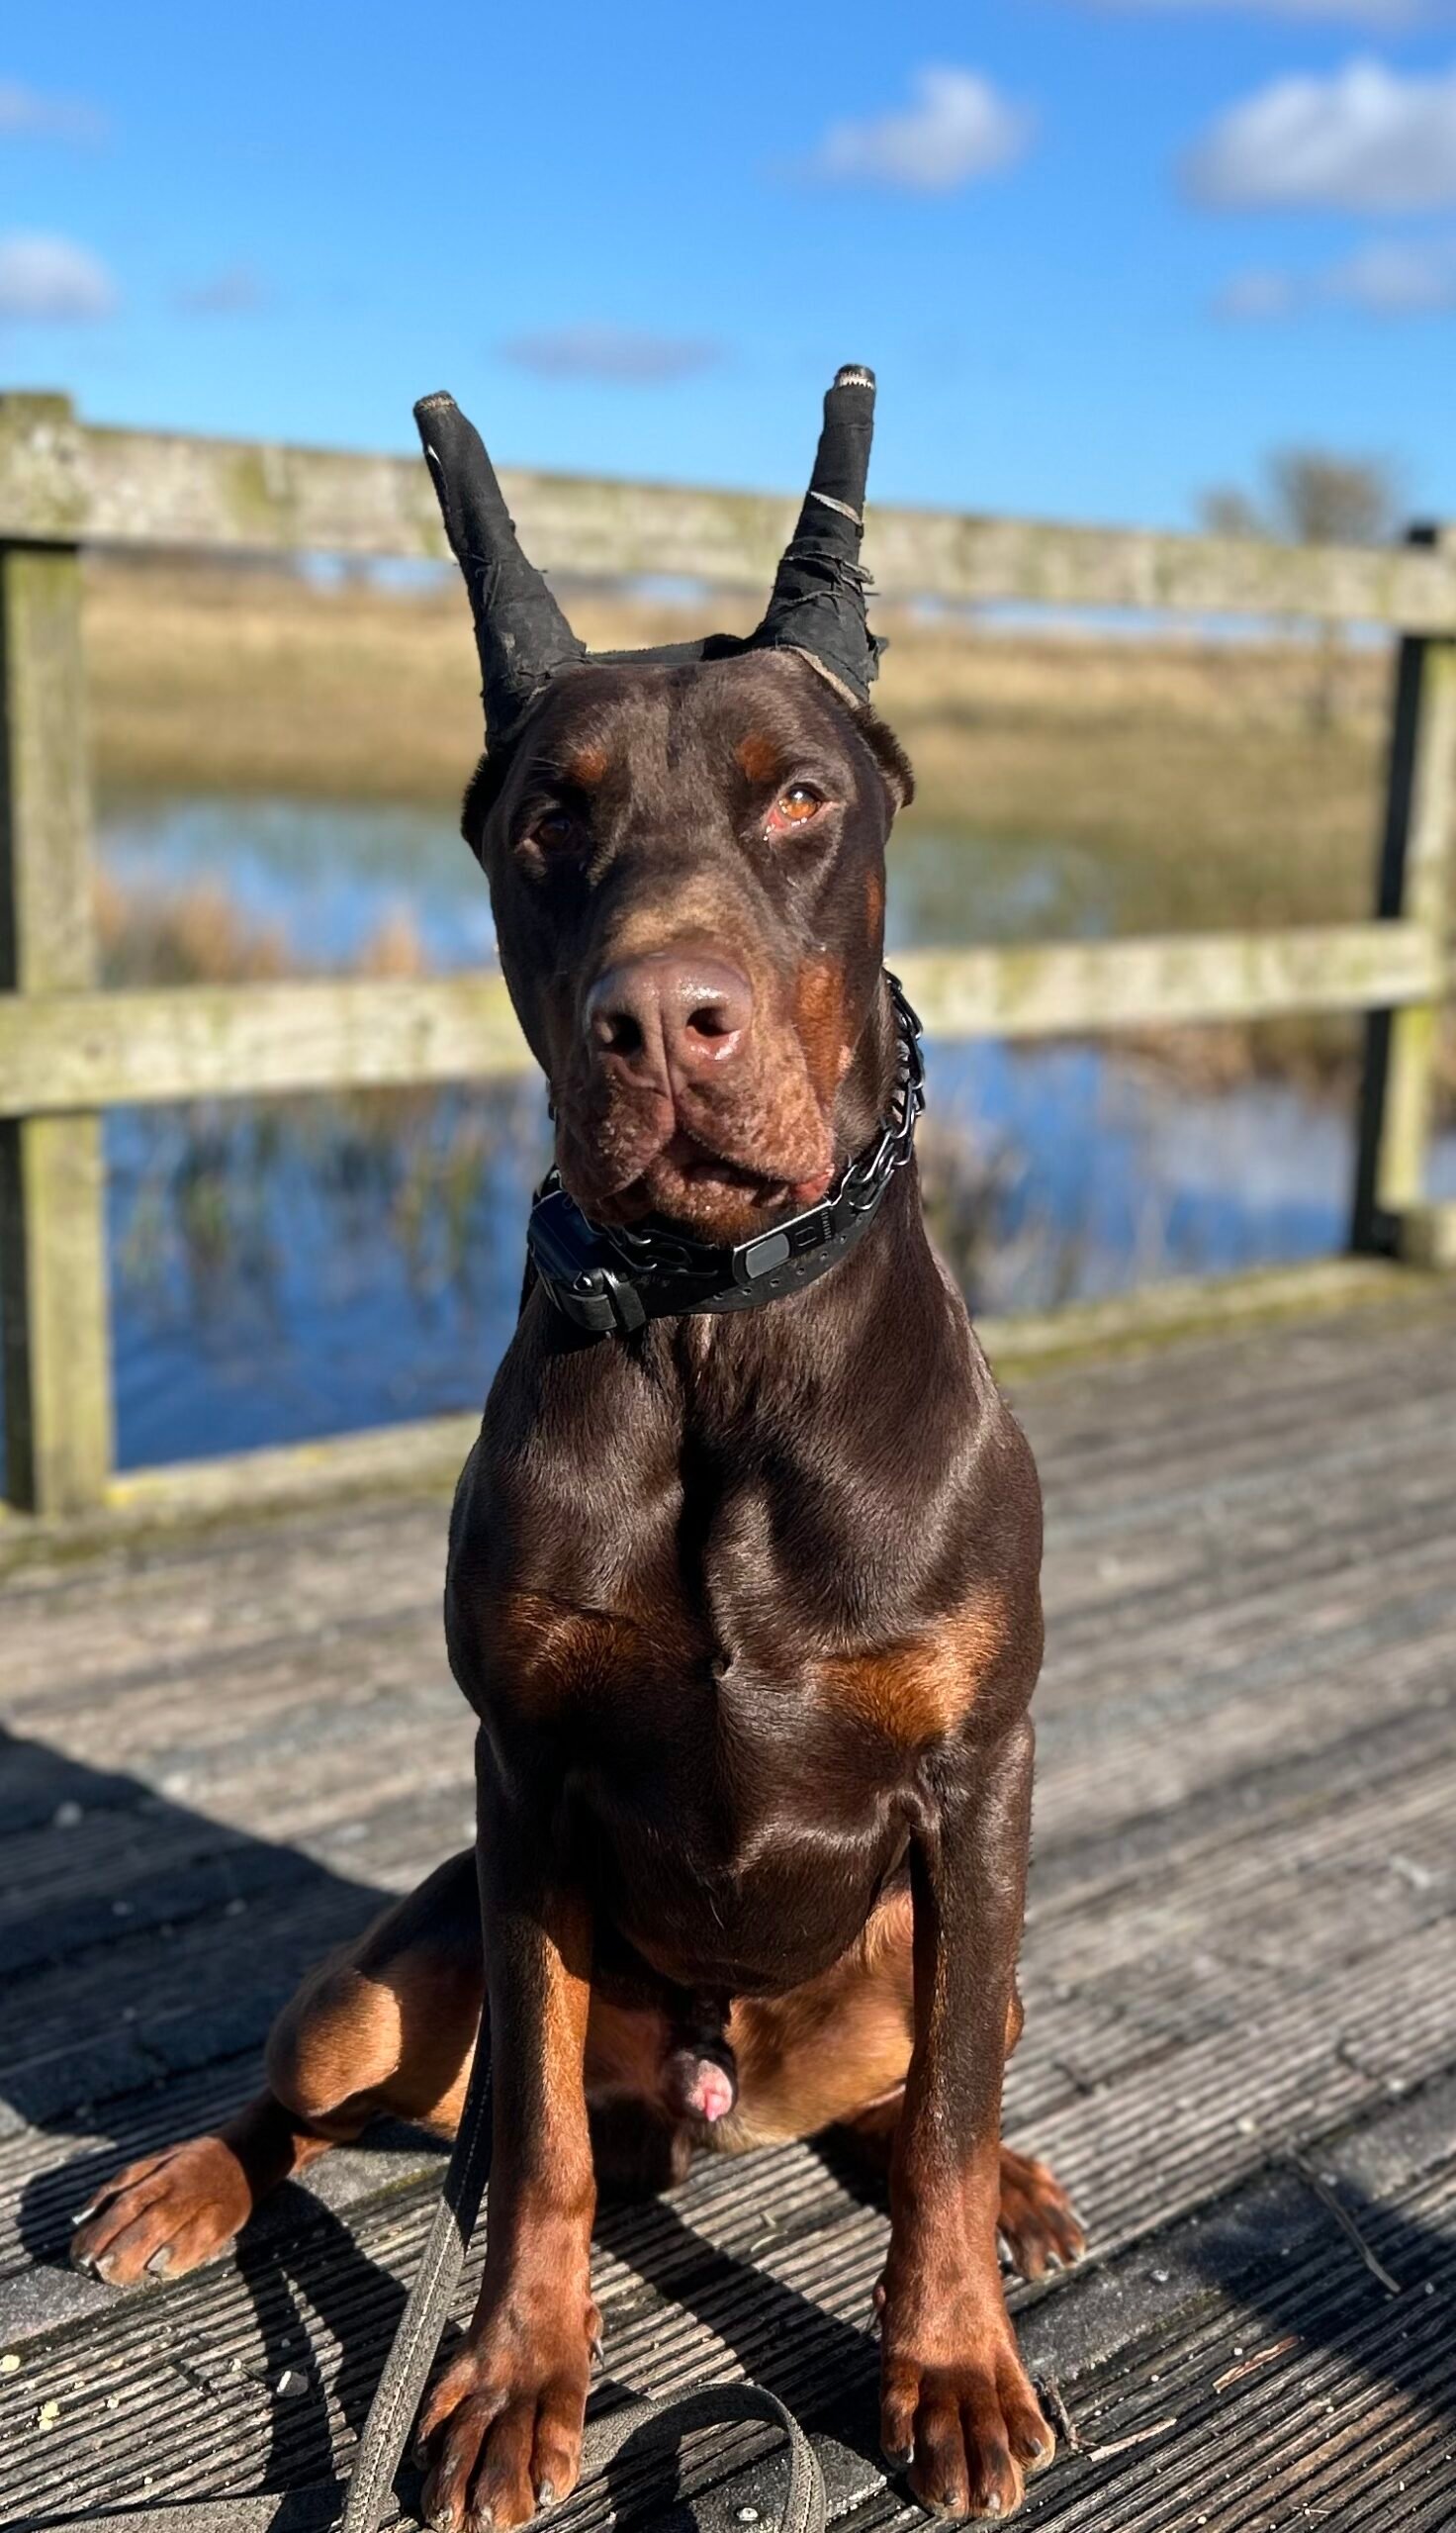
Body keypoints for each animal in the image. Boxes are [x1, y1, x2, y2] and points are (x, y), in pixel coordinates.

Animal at [72, 371, 1083, 2527]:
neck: (712, 1334)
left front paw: (950, 2361)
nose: (662, 1020)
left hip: (931, 1945)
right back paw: (182, 2181)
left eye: (799, 797)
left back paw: (1015, 2192)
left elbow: (947, 2123)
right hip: (402, 1961)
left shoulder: (979, 1778)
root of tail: (704, 2103)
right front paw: (512, 2374)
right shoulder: (520, 1784)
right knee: (326, 2100)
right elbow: (526, 2141)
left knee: (910, 2108)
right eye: (555, 813)